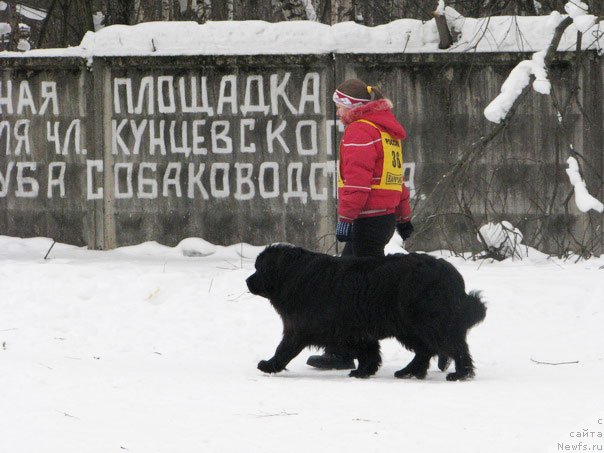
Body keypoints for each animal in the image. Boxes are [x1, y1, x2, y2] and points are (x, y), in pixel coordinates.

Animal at [245, 244, 486, 378]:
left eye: (259, 268)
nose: (247, 281)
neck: (293, 276)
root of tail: (452, 275)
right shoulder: (355, 329)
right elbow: (368, 351)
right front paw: (364, 371)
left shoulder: (301, 328)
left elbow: (284, 349)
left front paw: (269, 365)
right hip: (409, 327)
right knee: (425, 350)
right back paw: (409, 371)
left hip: (426, 322)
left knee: (455, 347)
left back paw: (460, 374)